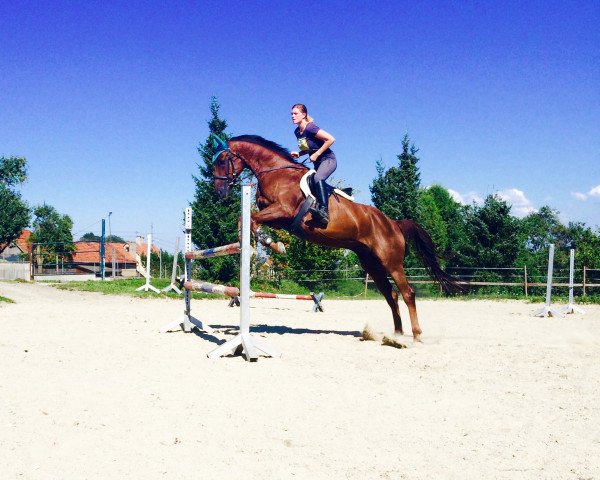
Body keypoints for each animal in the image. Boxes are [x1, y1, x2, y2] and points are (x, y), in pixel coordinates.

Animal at [213, 134, 462, 342]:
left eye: (222, 160)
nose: (220, 193)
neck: (276, 172)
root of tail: (393, 223)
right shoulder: (277, 217)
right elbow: (248, 219)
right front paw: (266, 243)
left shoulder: (283, 210)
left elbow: (251, 219)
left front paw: (266, 245)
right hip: (371, 263)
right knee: (391, 294)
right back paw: (396, 334)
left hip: (391, 261)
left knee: (407, 293)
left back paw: (416, 336)